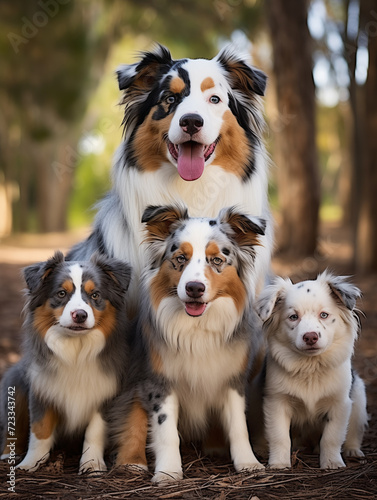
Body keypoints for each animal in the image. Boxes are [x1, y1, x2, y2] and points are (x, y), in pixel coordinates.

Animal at [0, 252, 131, 474]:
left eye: (95, 295)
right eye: (61, 293)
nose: (80, 315)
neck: (75, 349)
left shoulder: (105, 393)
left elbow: (95, 431)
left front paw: (92, 464)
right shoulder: (41, 389)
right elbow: (40, 430)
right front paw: (30, 463)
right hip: (14, 383)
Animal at [111, 205, 264, 482]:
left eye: (217, 260)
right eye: (181, 258)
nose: (194, 288)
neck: (197, 328)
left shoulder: (232, 380)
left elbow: (239, 427)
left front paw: (248, 463)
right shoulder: (160, 382)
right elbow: (166, 431)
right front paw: (168, 472)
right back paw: (132, 462)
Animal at [256, 272, 368, 470]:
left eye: (324, 315)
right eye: (293, 317)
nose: (310, 337)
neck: (311, 366)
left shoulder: (340, 403)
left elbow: (331, 437)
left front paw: (332, 463)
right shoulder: (276, 402)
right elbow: (279, 436)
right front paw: (279, 463)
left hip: (359, 397)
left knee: (354, 431)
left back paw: (353, 451)